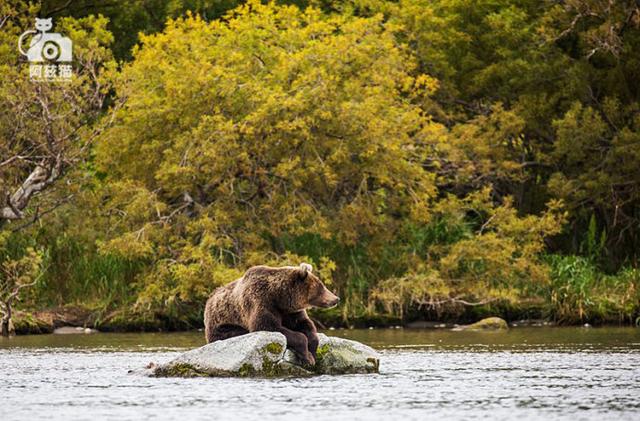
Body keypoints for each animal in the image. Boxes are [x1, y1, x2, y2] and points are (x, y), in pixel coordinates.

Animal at [204, 262, 340, 364]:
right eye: (321, 287)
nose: (336, 299)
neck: (279, 297)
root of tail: (208, 301)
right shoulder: (261, 302)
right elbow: (269, 326)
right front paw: (307, 357)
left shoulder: (290, 311)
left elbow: (305, 324)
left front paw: (312, 351)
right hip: (222, 325)